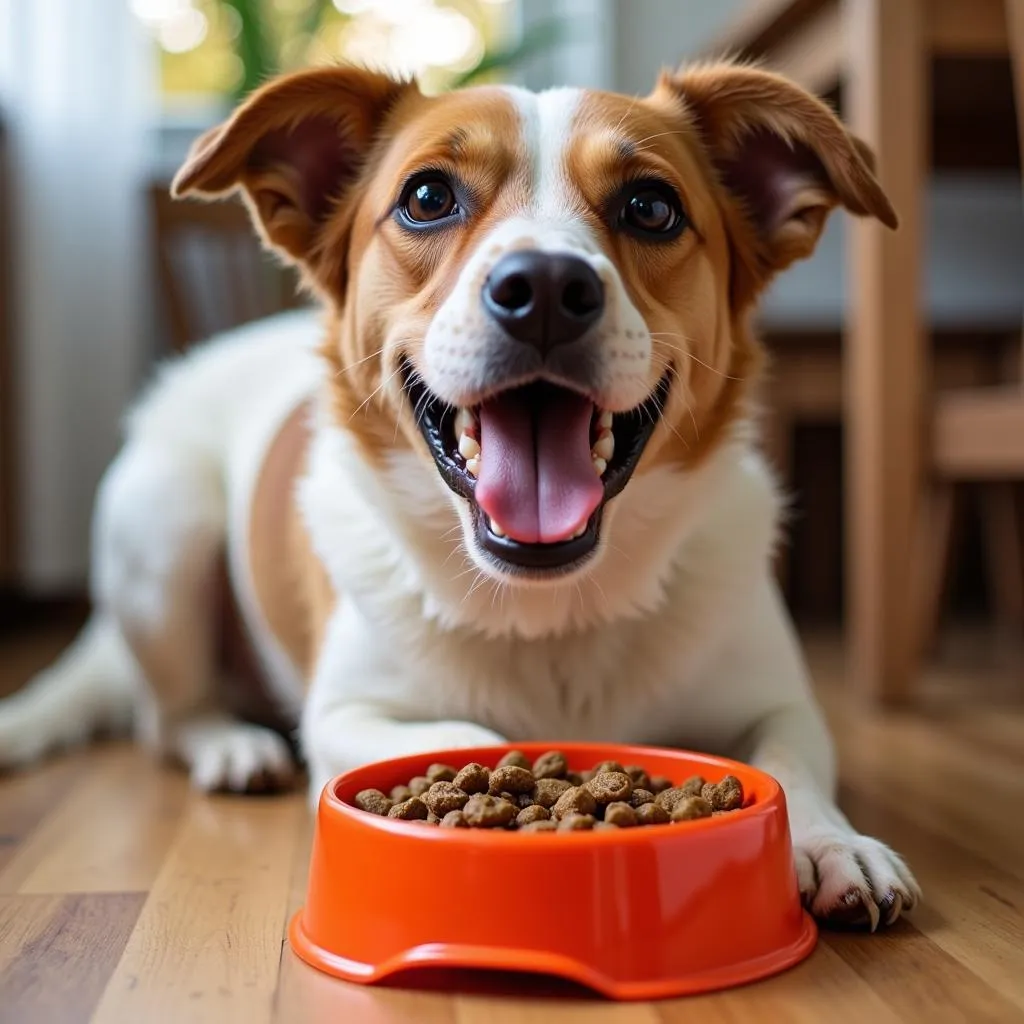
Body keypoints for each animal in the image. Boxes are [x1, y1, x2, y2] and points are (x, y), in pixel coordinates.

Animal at [0, 61, 921, 929]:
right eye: (427, 198)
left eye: (652, 207)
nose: (545, 288)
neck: (553, 609)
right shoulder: (347, 714)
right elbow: (467, 737)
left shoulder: (778, 701)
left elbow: (789, 761)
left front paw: (832, 842)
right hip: (162, 534)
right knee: (166, 718)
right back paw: (230, 745)